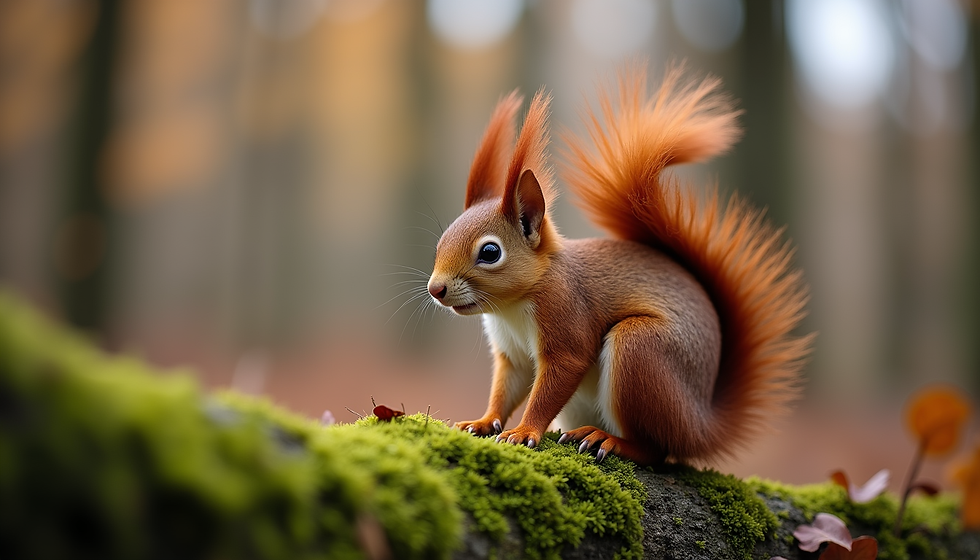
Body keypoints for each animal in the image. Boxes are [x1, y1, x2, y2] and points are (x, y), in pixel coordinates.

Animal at [426, 64, 813, 465]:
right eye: (440, 243)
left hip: (640, 351)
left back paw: (609, 440)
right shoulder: (511, 354)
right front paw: (483, 421)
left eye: (490, 253)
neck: (512, 307)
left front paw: (524, 431)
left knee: (656, 449)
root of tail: (701, 426)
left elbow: (556, 379)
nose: (436, 289)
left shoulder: (566, 316)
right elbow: (506, 389)